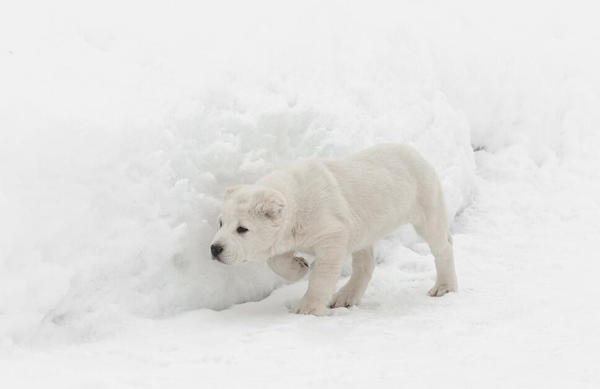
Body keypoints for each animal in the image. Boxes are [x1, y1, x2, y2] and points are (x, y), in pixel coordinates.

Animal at [211, 144, 460, 314]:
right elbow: (275, 260)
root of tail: (413, 151)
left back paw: (444, 287)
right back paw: (346, 296)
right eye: (221, 223)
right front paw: (298, 267)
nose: (215, 248)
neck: (296, 204)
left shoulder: (333, 234)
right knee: (365, 263)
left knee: (443, 244)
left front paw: (307, 308)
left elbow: (321, 275)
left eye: (242, 228)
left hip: (426, 202)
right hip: (364, 228)